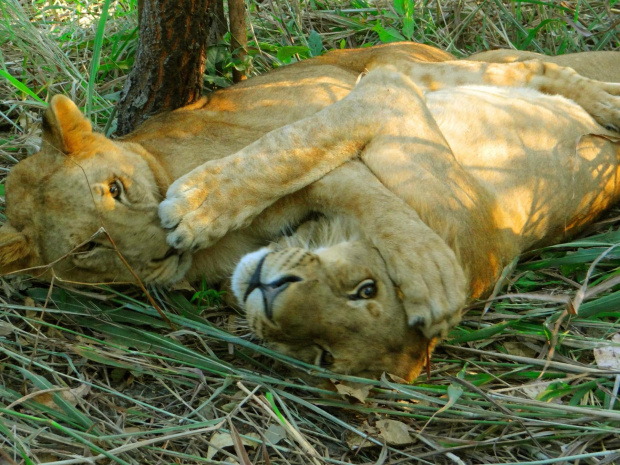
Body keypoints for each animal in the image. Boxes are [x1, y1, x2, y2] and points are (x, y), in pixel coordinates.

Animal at [1, 41, 620, 378]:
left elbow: (292, 153)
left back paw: (605, 103)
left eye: (116, 189)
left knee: (535, 70)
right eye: (88, 249)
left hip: (401, 70)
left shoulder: (341, 135)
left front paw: (433, 276)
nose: (156, 248)